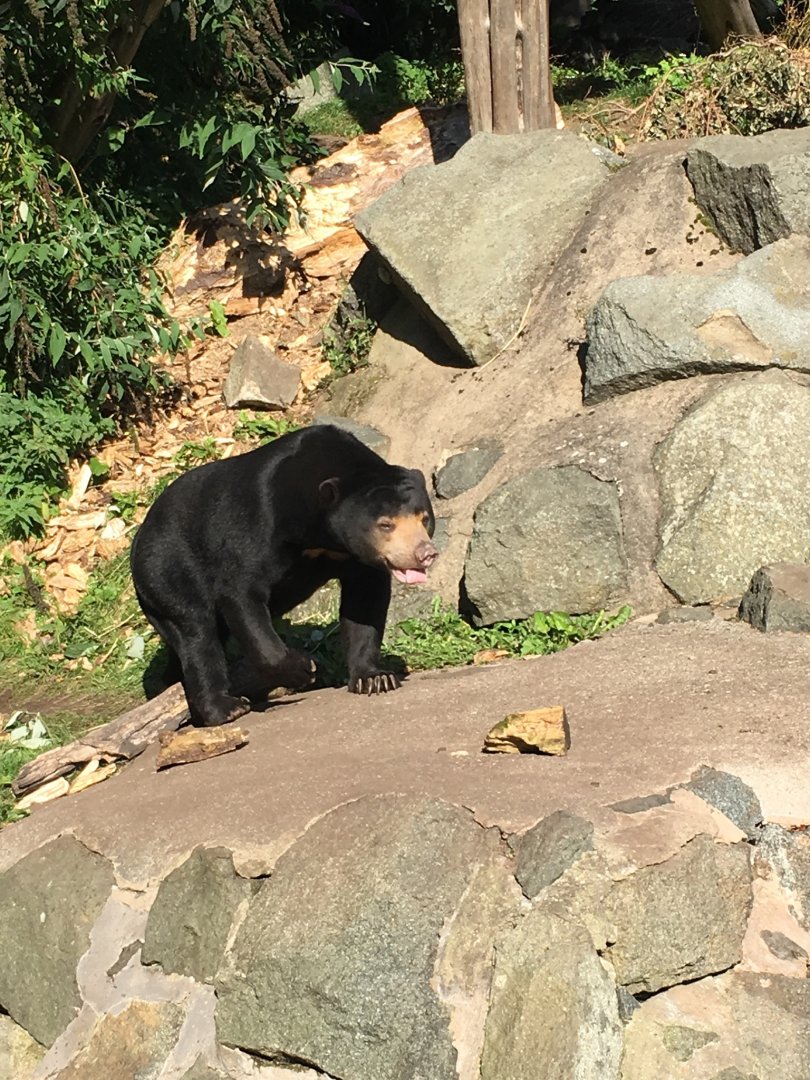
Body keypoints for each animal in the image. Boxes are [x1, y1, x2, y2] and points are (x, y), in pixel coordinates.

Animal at [130, 425, 438, 727]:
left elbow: (365, 600)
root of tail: (139, 534)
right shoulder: (257, 526)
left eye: (424, 518)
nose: (425, 553)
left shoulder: (352, 556)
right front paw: (304, 668)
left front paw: (375, 678)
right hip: (168, 572)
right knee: (197, 636)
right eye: (385, 524)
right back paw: (225, 708)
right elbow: (242, 594)